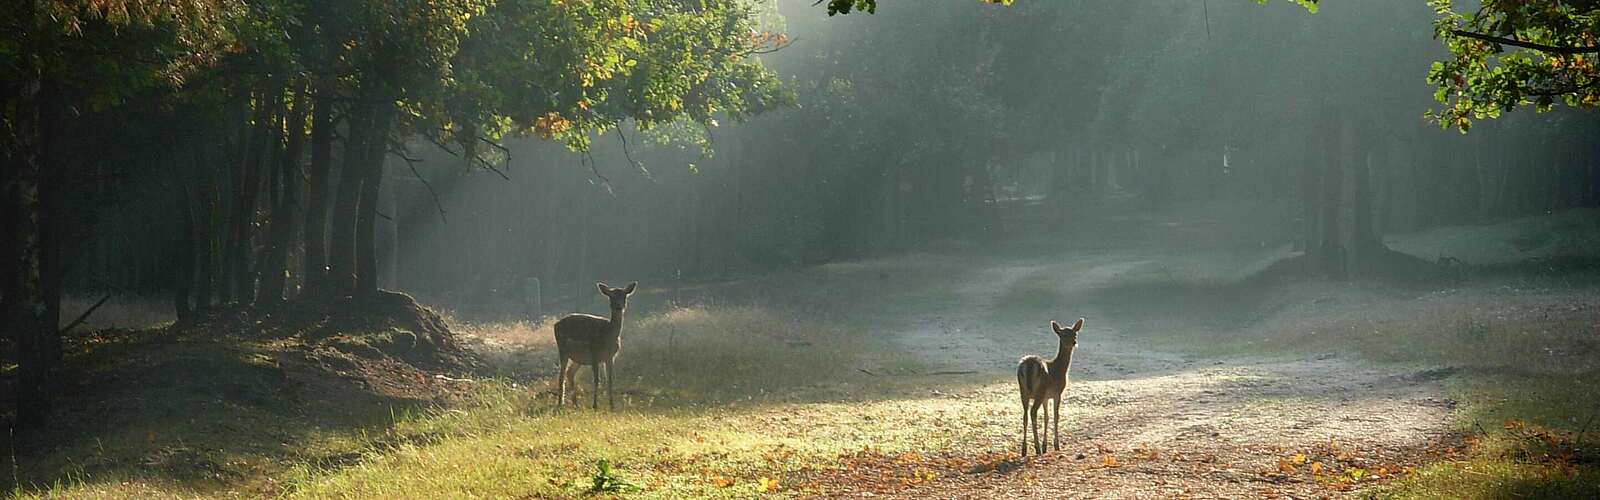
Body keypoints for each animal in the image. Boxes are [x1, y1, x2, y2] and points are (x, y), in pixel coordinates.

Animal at [553, 282, 633, 410]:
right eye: (611, 297)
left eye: (624, 296)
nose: (618, 306)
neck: (608, 335)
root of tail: (555, 324)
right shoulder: (594, 354)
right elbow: (596, 380)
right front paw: (595, 406)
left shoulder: (610, 357)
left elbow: (610, 380)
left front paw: (612, 406)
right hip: (563, 349)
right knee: (561, 376)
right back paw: (560, 404)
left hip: (578, 358)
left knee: (570, 372)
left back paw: (576, 404)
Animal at [1017, 318, 1081, 455]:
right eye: (1063, 335)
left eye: (1075, 334)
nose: (1074, 342)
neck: (1060, 368)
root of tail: (1029, 365)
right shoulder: (1058, 393)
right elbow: (1056, 416)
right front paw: (1056, 445)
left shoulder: (1046, 397)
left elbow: (1046, 417)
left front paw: (1045, 446)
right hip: (1039, 391)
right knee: (1033, 412)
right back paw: (1036, 448)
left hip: (1023, 390)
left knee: (1025, 415)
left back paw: (1024, 450)